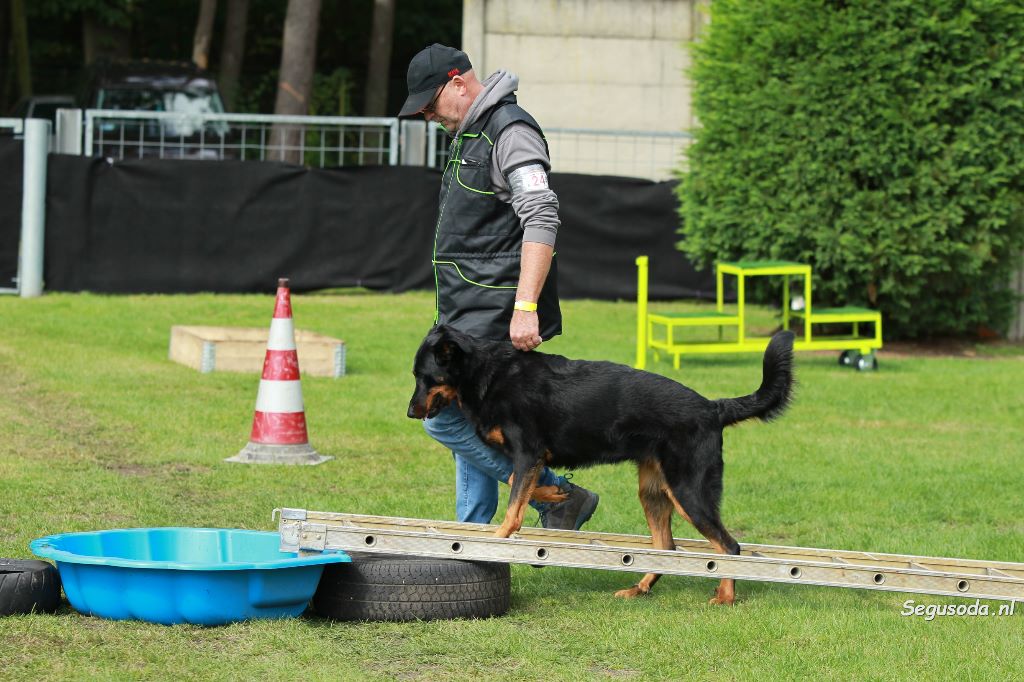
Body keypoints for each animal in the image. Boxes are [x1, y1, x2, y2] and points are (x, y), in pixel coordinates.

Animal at [403, 323, 794, 602]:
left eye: (425, 378)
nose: (409, 413)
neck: (487, 373)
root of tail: (713, 408)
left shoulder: (528, 452)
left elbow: (513, 509)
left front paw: (498, 541)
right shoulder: (528, 459)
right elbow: (520, 484)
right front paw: (555, 494)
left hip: (689, 493)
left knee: (729, 546)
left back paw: (725, 596)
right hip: (654, 494)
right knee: (666, 547)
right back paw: (640, 589)